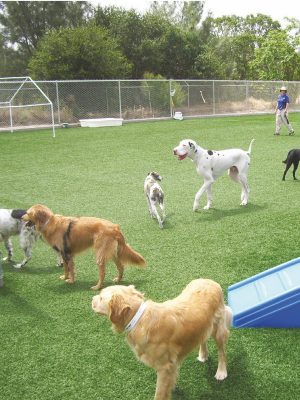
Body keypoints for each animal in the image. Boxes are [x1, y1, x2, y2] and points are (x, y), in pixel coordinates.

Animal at [91, 278, 232, 400]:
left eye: (101, 297)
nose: (91, 298)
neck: (138, 319)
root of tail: (210, 281)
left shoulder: (164, 366)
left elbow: (159, 393)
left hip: (218, 330)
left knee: (222, 352)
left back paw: (221, 372)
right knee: (203, 338)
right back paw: (203, 355)